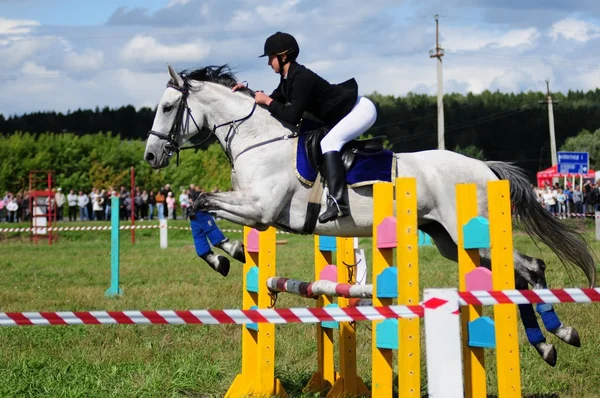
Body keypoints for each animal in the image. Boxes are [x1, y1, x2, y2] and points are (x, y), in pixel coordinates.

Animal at [144, 63, 596, 366]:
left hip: (471, 234)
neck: (259, 140)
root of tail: (484, 168)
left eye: (167, 107)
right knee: (519, 274)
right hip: (453, 243)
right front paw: (226, 253)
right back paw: (551, 341)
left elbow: (200, 203)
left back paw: (558, 334)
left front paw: (224, 252)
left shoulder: (260, 210)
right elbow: (197, 204)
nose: (151, 156)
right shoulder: (252, 209)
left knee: (530, 268)